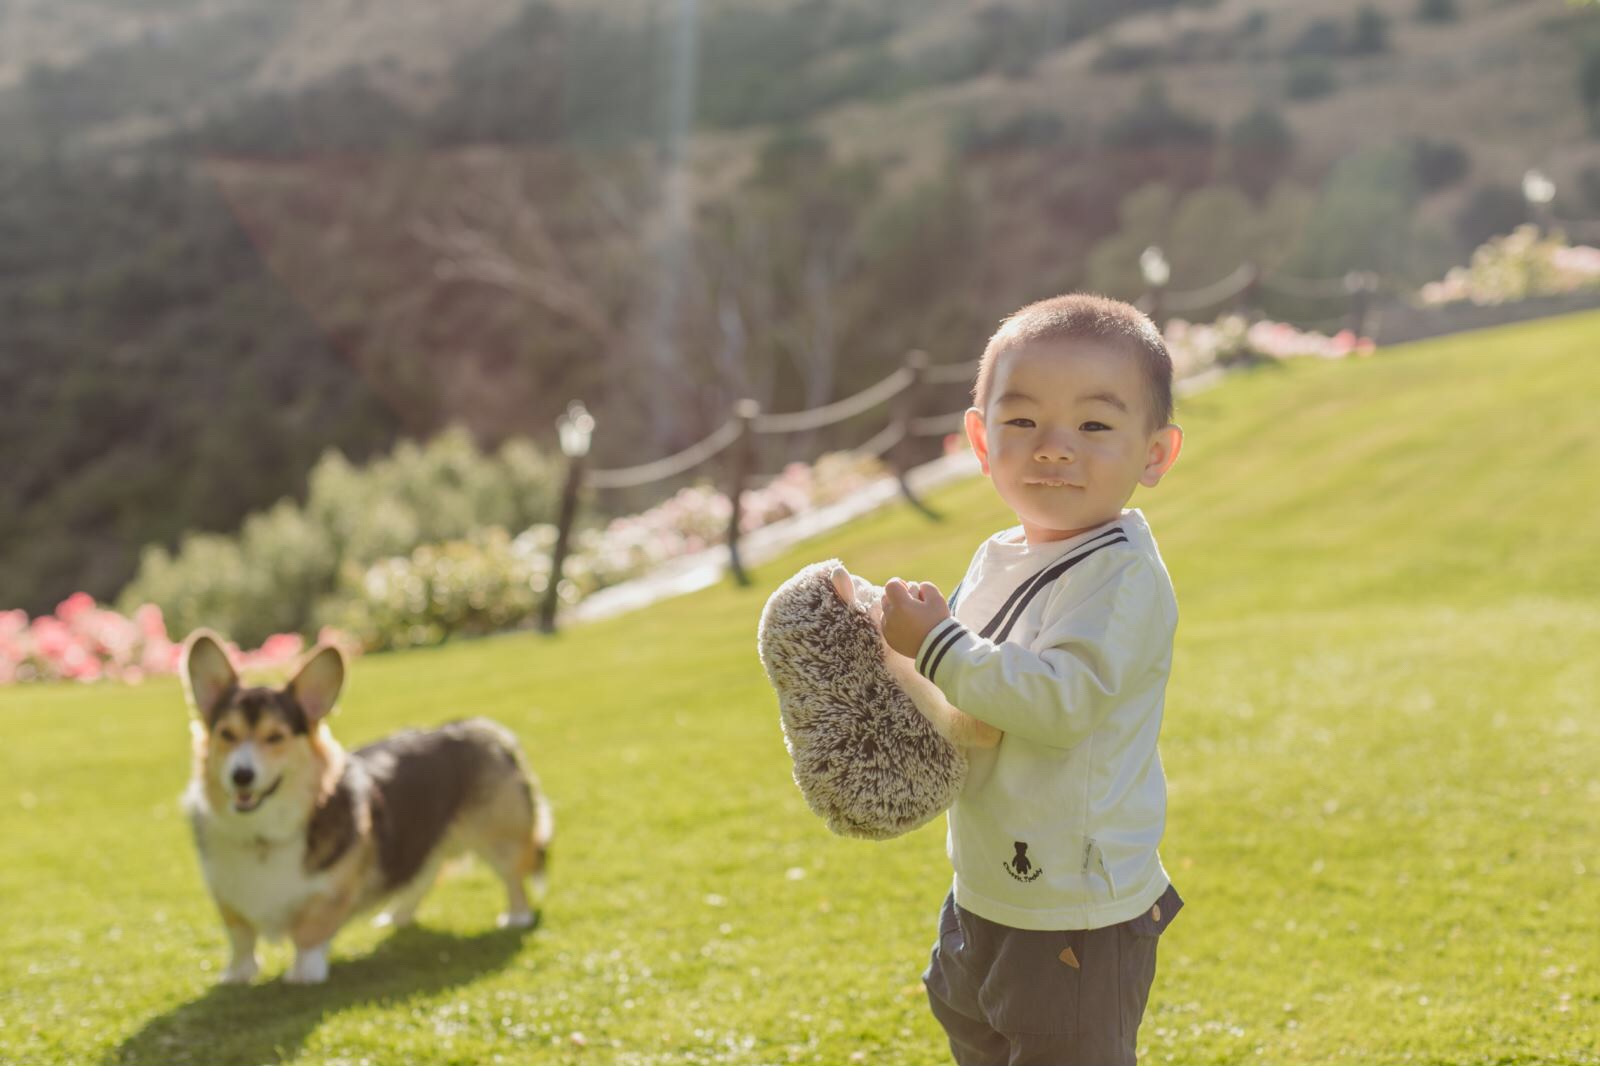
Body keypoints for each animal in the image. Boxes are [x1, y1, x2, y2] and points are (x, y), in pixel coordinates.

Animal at [180, 627, 553, 985]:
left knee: (513, 876)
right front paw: (237, 975)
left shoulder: (331, 892)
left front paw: (304, 974)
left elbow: (310, 933)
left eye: (275, 737)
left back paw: (517, 916)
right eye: (226, 734)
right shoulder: (226, 894)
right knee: (422, 876)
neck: (262, 835)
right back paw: (396, 915)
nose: (241, 775)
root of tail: (485, 728)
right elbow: (241, 937)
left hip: (502, 838)